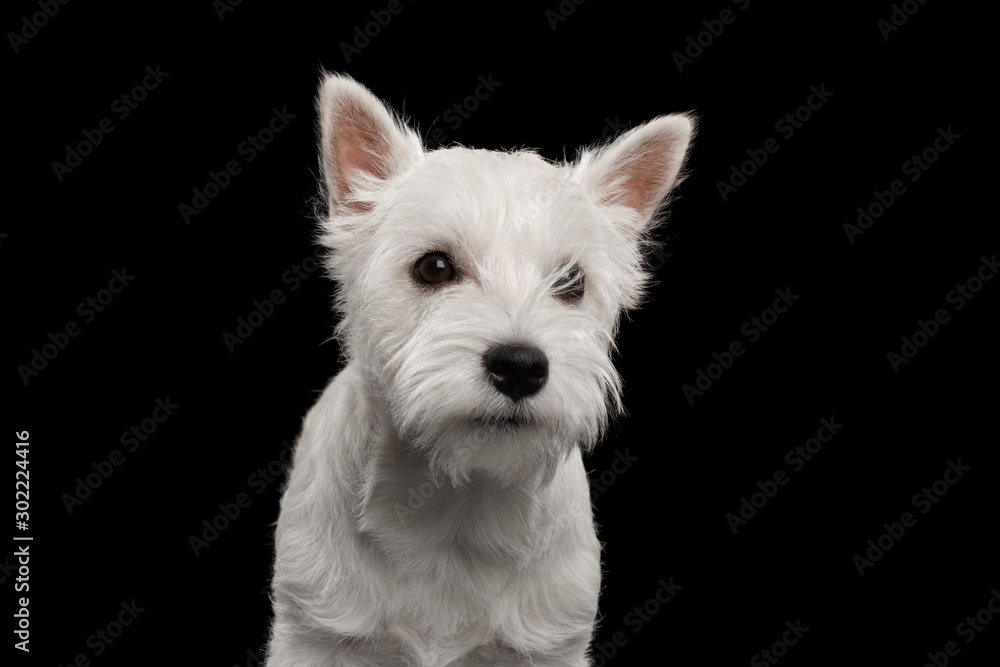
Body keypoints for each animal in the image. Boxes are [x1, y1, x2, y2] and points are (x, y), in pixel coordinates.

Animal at [262, 74, 692, 667]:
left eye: (571, 281)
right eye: (434, 267)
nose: (520, 367)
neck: (458, 506)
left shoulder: (549, 645)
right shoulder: (315, 638)